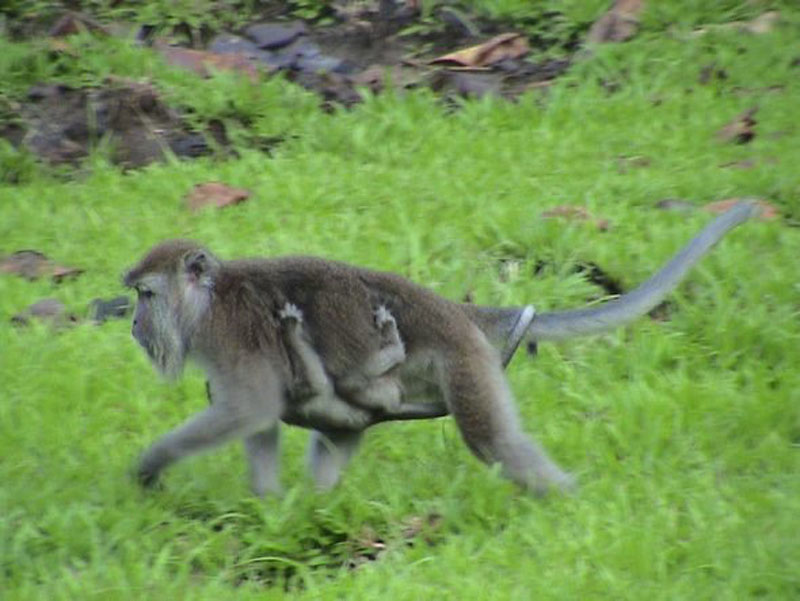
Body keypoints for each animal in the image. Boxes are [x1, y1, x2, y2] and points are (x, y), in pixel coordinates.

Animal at [125, 202, 764, 496]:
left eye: (145, 296)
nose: (132, 325)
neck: (207, 302)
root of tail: (453, 309)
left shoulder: (229, 334)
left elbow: (251, 406)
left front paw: (151, 465)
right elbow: (259, 418)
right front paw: (271, 504)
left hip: (462, 358)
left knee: (493, 441)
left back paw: (568, 500)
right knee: (340, 424)